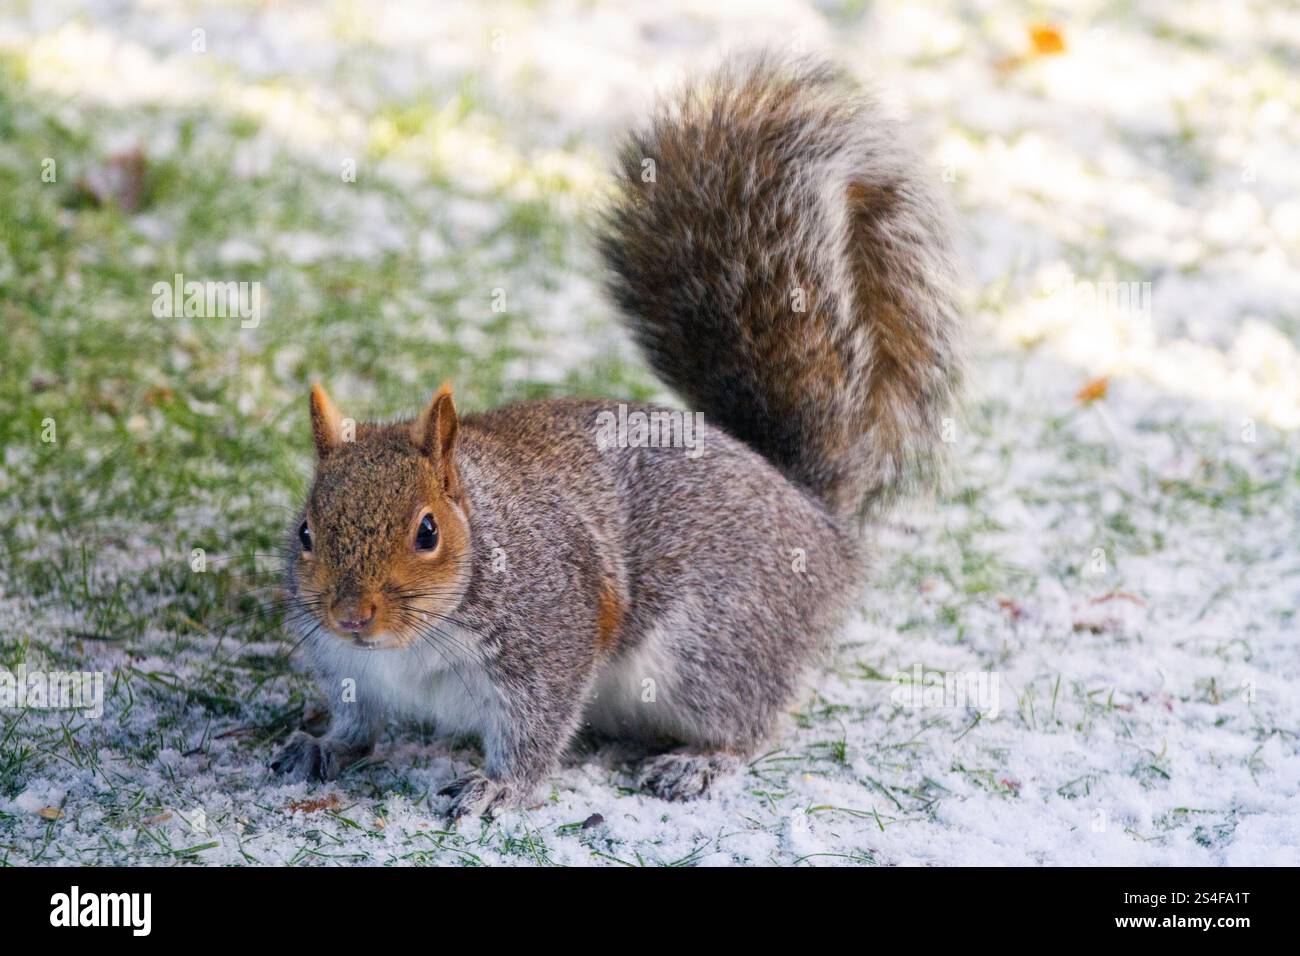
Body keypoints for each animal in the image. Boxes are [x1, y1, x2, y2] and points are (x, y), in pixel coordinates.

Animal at [270, 51, 962, 818]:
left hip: (713, 644)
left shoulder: (549, 638)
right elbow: (357, 719)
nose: (352, 615)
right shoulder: (345, 663)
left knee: (753, 723)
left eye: (428, 532)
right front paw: (324, 745)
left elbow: (535, 731)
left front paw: (498, 787)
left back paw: (700, 762)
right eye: (305, 531)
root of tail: (817, 517)